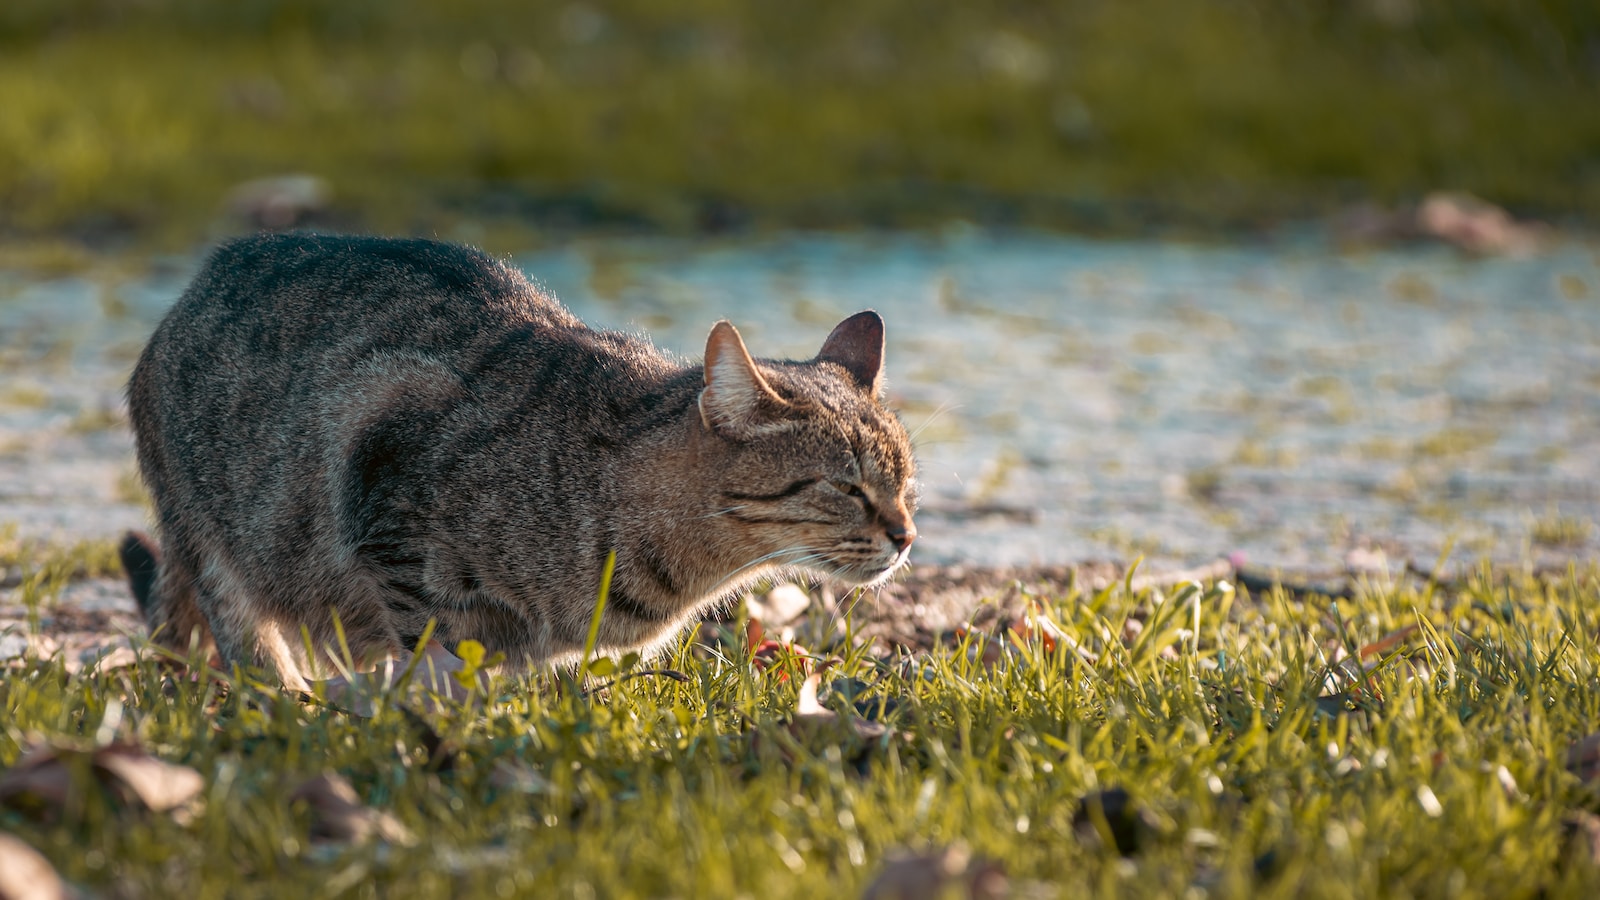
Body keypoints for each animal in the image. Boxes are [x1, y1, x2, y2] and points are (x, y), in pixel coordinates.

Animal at [118, 232, 921, 695]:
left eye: (905, 485)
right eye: (847, 487)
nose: (907, 535)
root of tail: (197, 284)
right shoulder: (382, 455)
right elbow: (440, 653)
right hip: (217, 532)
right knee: (244, 634)